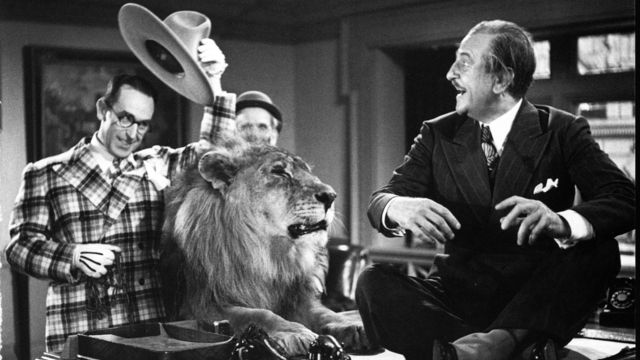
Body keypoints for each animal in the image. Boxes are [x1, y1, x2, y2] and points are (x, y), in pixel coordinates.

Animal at [161, 139, 370, 356]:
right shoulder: (201, 306)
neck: (267, 253)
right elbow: (258, 314)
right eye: (279, 172)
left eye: (308, 171)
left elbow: (323, 312)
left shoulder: (295, 298)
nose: (331, 195)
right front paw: (294, 332)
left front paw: (349, 324)